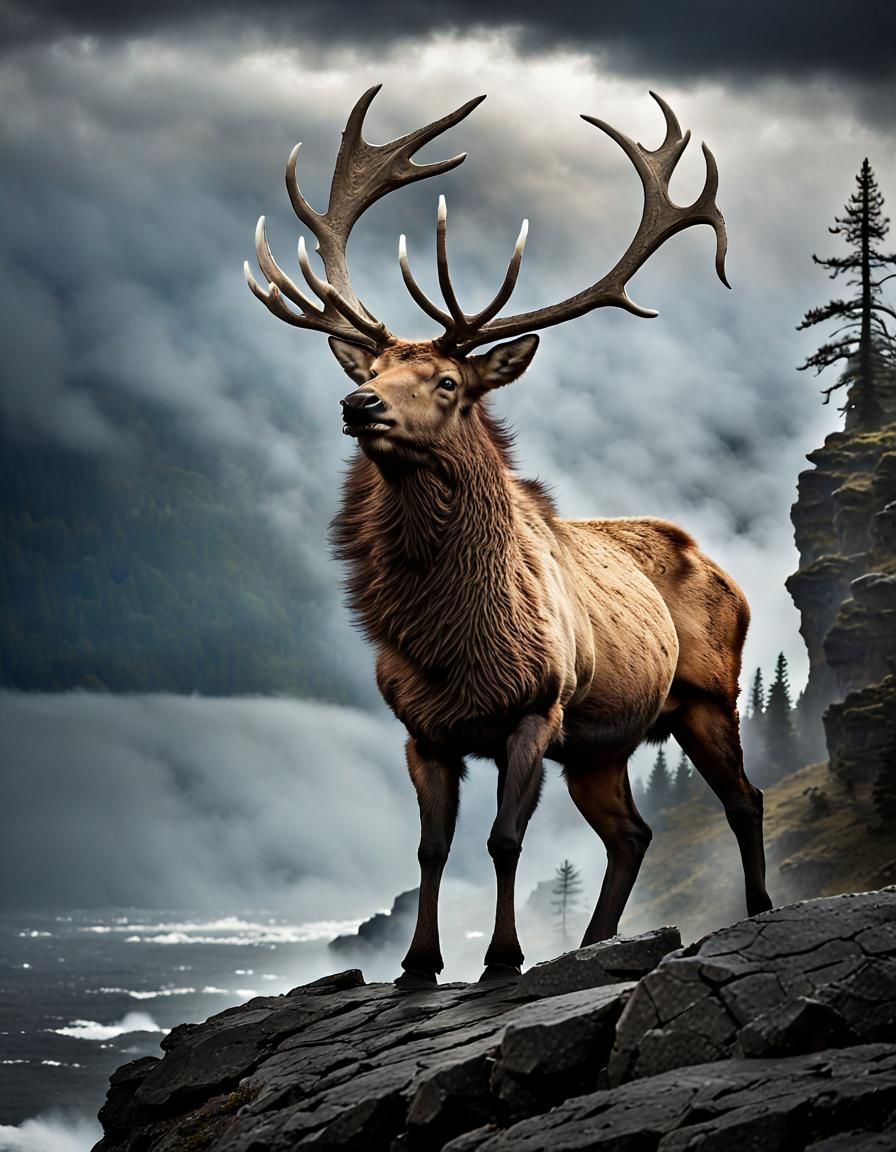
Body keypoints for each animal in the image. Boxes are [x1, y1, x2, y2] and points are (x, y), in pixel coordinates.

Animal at [245, 86, 773, 986]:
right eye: (374, 371)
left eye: (447, 382)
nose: (358, 404)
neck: (452, 641)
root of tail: (725, 572)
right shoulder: (422, 730)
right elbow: (430, 848)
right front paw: (419, 963)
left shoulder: (536, 707)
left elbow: (502, 841)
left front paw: (502, 957)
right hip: (601, 745)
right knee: (632, 834)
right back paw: (598, 944)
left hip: (709, 695)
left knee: (744, 798)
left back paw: (761, 912)